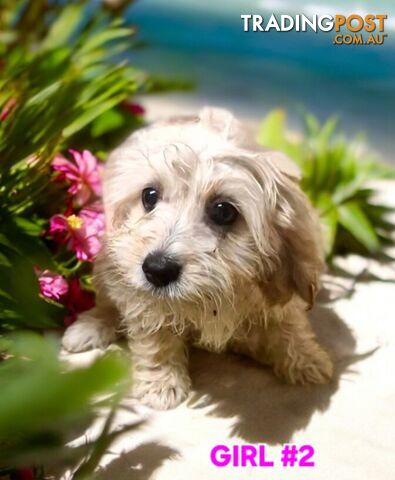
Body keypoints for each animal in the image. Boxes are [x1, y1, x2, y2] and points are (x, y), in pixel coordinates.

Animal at [62, 108, 334, 408]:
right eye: (149, 196)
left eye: (223, 211)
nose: (157, 269)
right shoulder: (144, 294)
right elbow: (155, 335)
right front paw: (161, 382)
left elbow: (289, 324)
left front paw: (306, 360)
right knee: (107, 301)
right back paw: (89, 327)